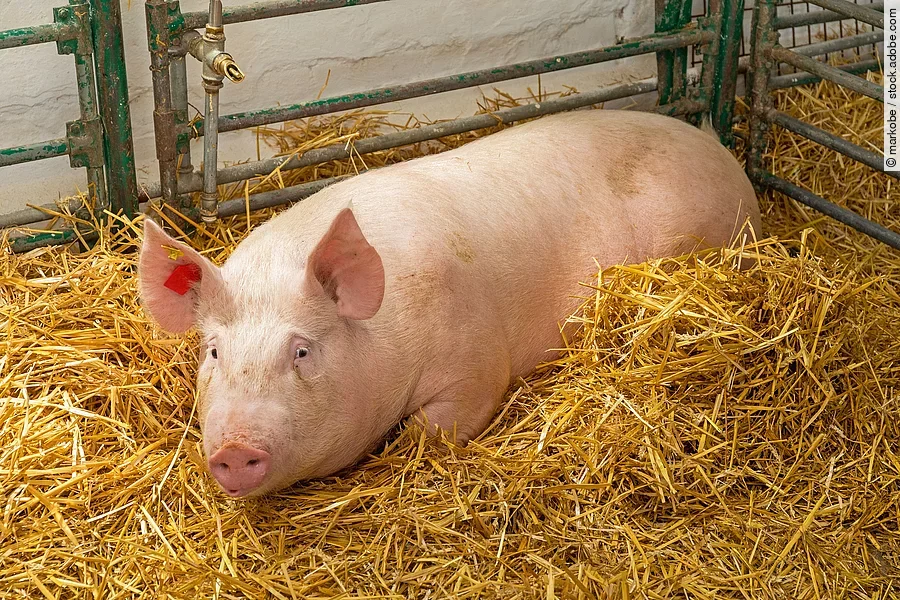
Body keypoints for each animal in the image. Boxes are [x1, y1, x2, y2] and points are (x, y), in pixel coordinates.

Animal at [139, 108, 760, 498]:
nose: (232, 449)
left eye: (302, 352)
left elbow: (431, 429)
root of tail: (716, 147)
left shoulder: (477, 362)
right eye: (214, 352)